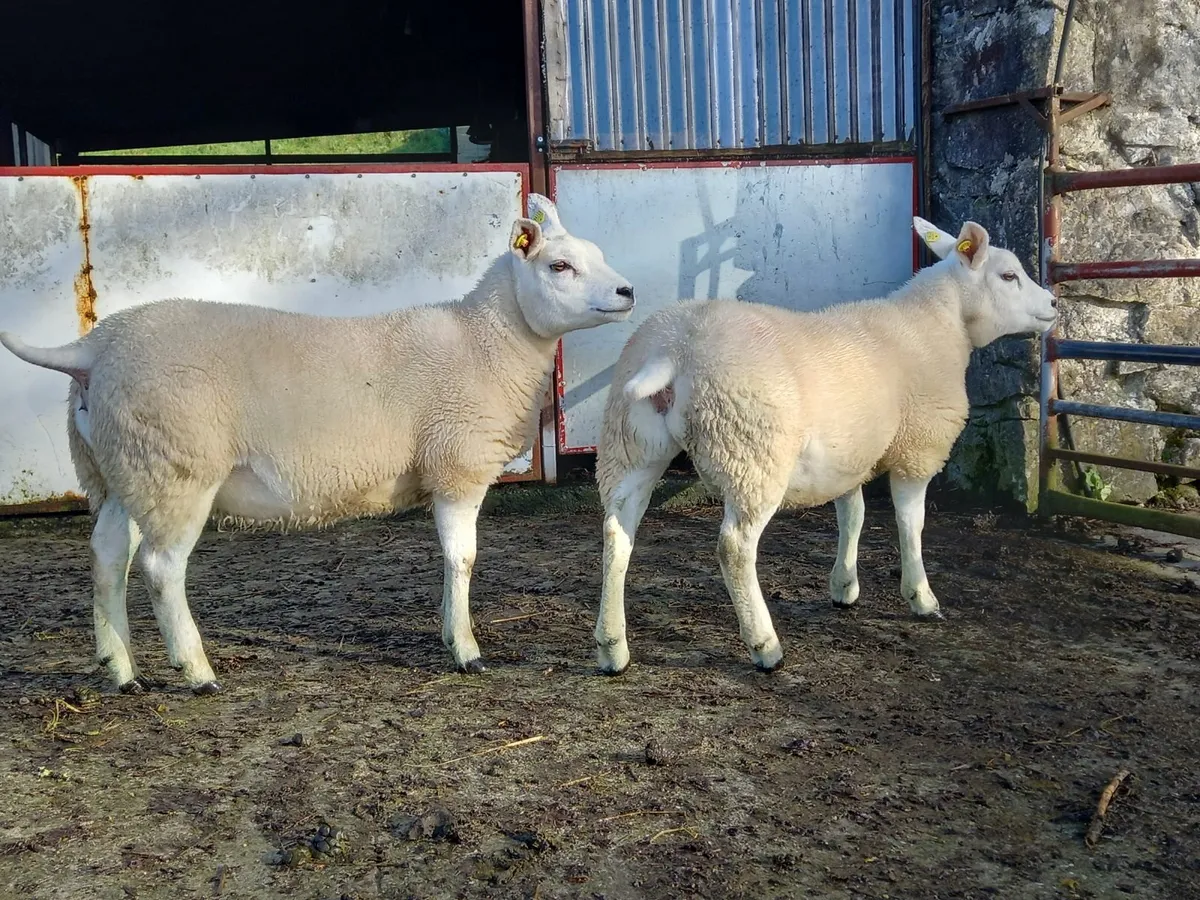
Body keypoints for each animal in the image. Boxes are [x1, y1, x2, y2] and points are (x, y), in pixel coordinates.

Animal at [0, 193, 635, 693]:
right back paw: (196, 672)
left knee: (108, 555)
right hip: (178, 466)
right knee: (160, 568)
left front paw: (447, 634)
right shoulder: (457, 463)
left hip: (124, 469)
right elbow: (463, 559)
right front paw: (466, 651)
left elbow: (448, 560)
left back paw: (122, 670)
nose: (628, 290)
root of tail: (92, 349)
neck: (485, 341)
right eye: (559, 266)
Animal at [592, 216, 1056, 675]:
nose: (1053, 304)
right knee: (735, 547)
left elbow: (852, 515)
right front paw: (921, 596)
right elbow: (911, 523)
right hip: (752, 452)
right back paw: (765, 645)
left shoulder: (849, 453)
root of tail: (675, 350)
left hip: (630, 445)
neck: (938, 326)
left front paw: (844, 586)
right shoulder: (917, 450)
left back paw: (613, 647)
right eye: (1009, 275)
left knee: (617, 531)